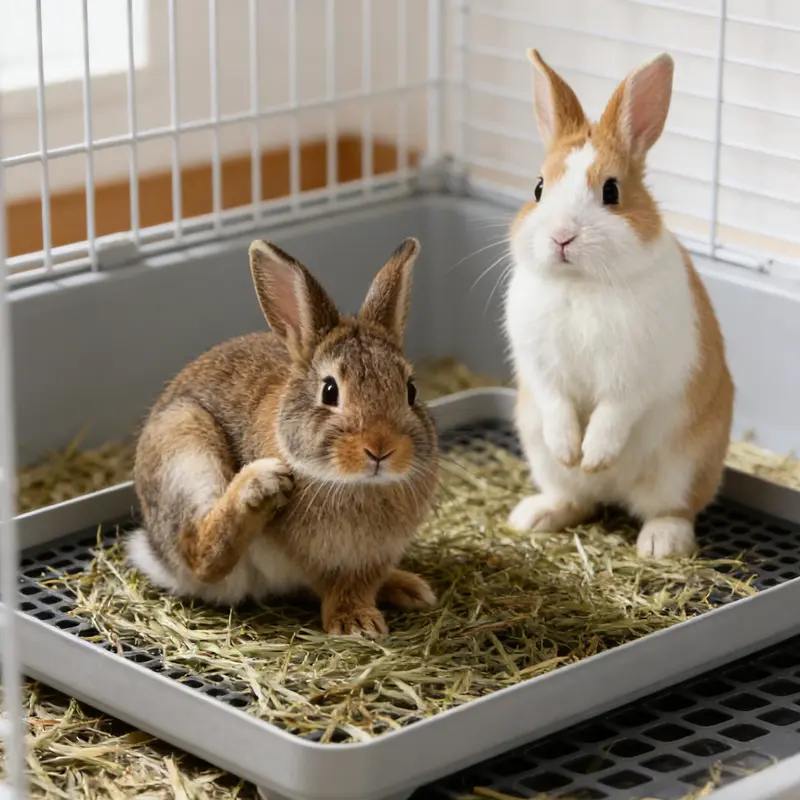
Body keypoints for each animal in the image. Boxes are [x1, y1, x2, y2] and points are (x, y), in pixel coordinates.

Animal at [128, 237, 439, 637]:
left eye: (411, 391)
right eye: (329, 391)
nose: (380, 449)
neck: (354, 483)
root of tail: (156, 554)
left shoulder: (372, 558)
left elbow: (357, 583)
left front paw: (361, 616)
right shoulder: (313, 560)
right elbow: (330, 584)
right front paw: (355, 625)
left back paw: (410, 588)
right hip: (185, 447)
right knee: (200, 553)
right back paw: (259, 484)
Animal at [503, 49, 734, 559]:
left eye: (611, 191)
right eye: (538, 188)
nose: (561, 236)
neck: (581, 283)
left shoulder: (638, 374)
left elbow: (615, 411)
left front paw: (594, 455)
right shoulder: (540, 369)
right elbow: (557, 403)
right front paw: (573, 451)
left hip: (684, 465)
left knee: (672, 508)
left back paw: (660, 543)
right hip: (535, 442)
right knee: (576, 497)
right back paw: (536, 515)